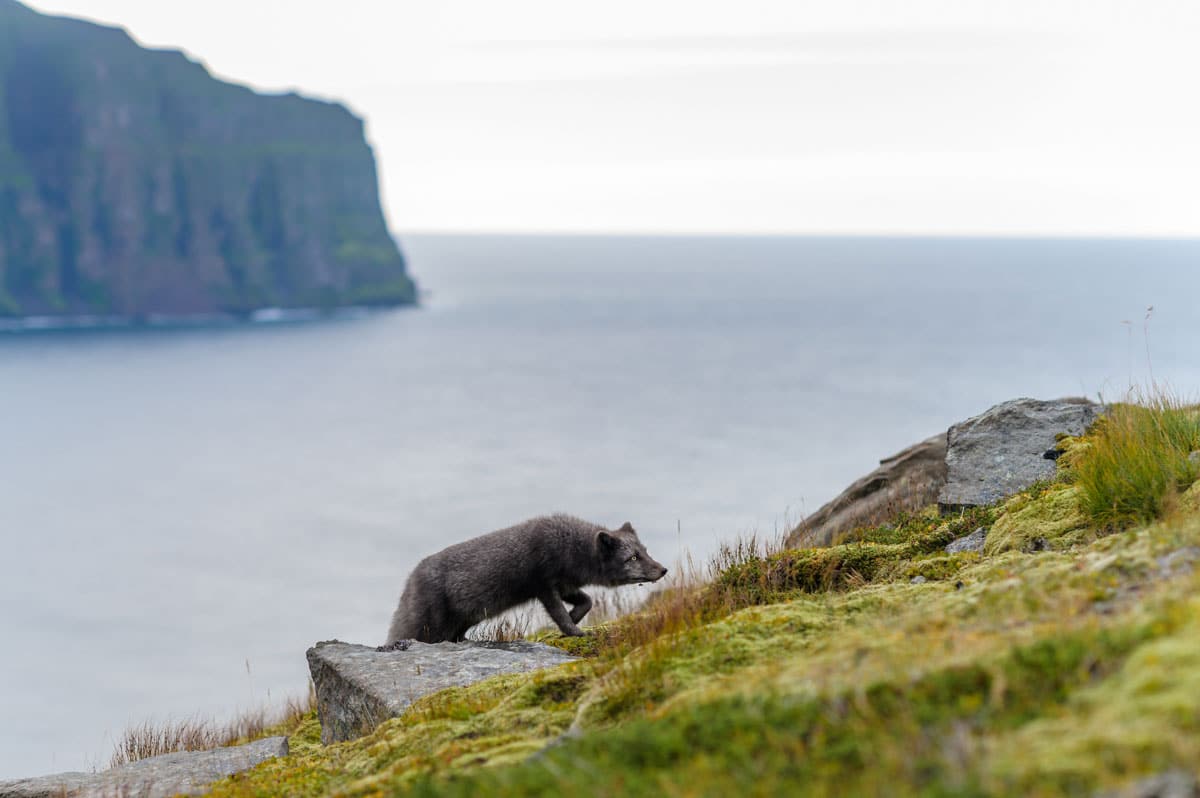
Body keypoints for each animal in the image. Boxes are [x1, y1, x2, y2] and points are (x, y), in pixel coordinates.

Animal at [384, 513, 667, 643]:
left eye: (645, 551)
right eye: (632, 558)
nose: (663, 570)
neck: (570, 547)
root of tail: (410, 580)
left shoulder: (565, 584)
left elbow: (587, 601)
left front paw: (574, 619)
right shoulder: (544, 586)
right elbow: (560, 614)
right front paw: (574, 631)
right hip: (429, 627)